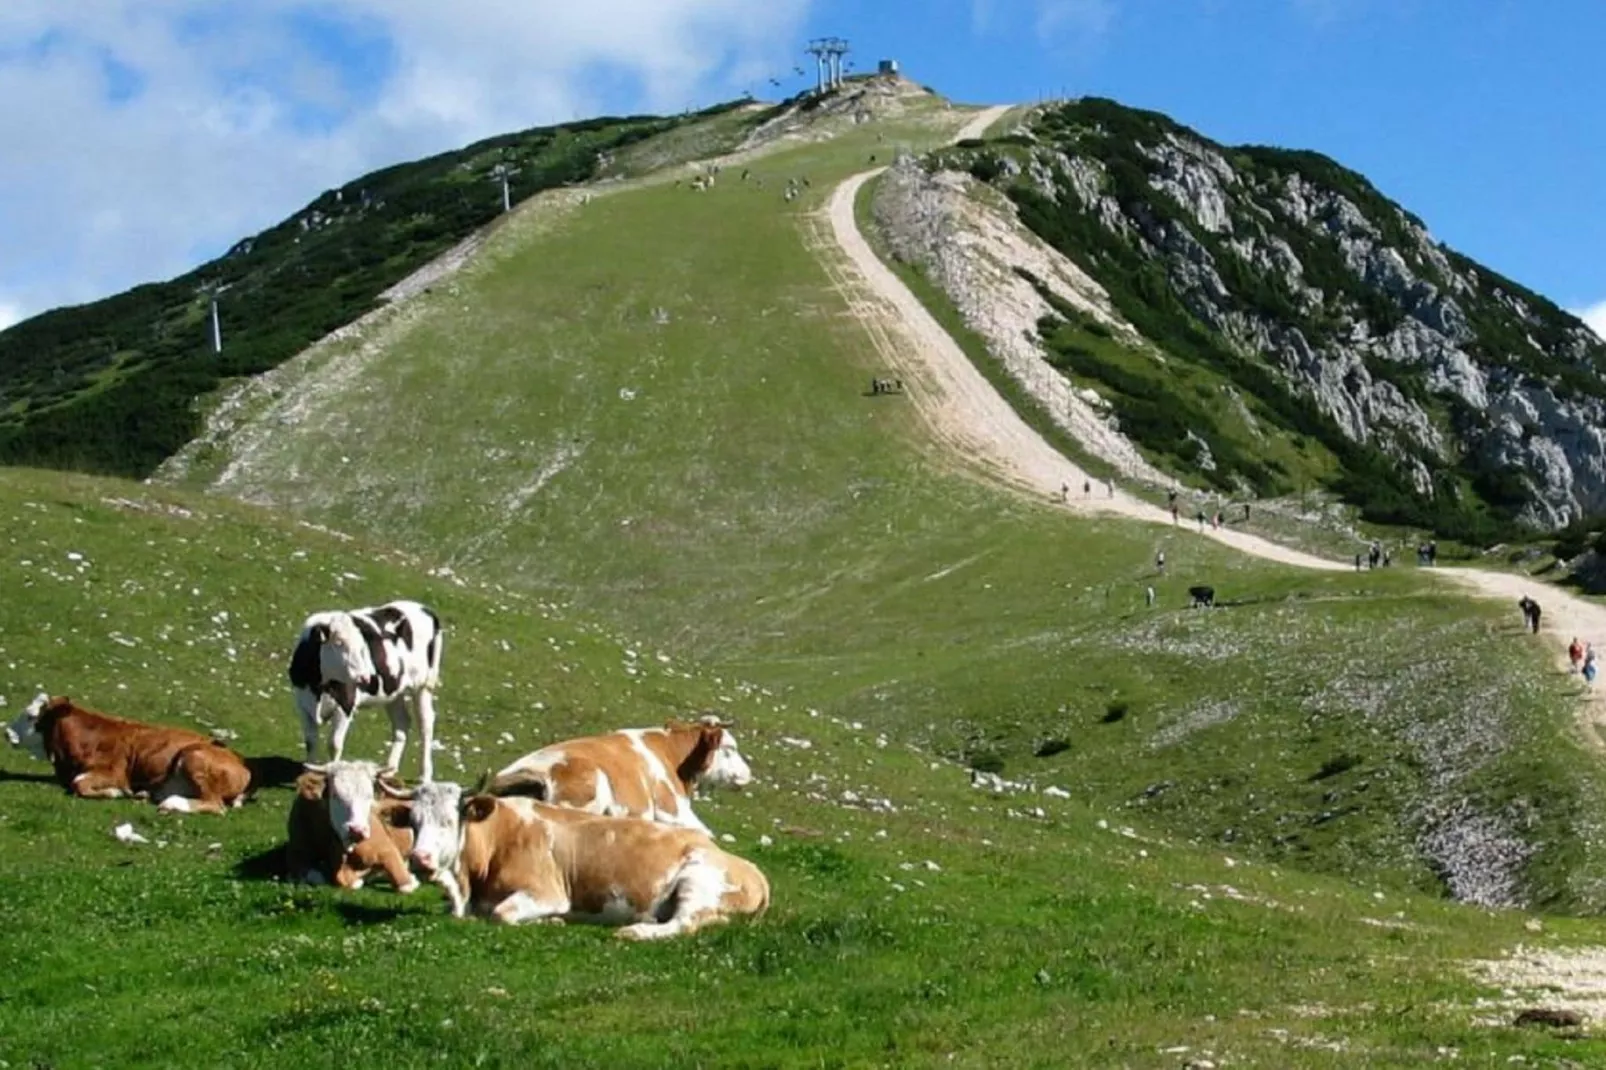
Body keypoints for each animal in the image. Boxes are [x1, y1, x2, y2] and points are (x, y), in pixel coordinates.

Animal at [4, 687, 248, 812]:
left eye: (30, 716)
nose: (6, 732)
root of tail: (241, 763)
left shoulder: (115, 773)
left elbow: (79, 783)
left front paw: (114, 792)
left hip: (193, 757)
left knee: (215, 805)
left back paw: (172, 802)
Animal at [285, 758, 417, 893]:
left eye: (370, 795)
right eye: (335, 795)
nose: (357, 830)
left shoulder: (387, 851)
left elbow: (405, 885)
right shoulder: (296, 852)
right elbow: (315, 876)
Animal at [289, 594, 446, 780]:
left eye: (362, 646)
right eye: (339, 642)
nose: (365, 677)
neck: (319, 688)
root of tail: (425, 609)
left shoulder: (346, 704)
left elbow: (334, 743)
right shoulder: (302, 703)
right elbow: (311, 742)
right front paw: (308, 775)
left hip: (423, 686)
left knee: (426, 724)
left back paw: (425, 775)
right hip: (393, 691)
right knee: (402, 722)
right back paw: (389, 769)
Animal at [404, 780, 774, 938]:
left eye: (448, 821)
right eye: (413, 821)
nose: (418, 859)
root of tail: (753, 870)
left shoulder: (547, 892)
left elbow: (501, 914)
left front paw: (551, 921)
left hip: (698, 880)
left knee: (686, 923)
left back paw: (635, 931)